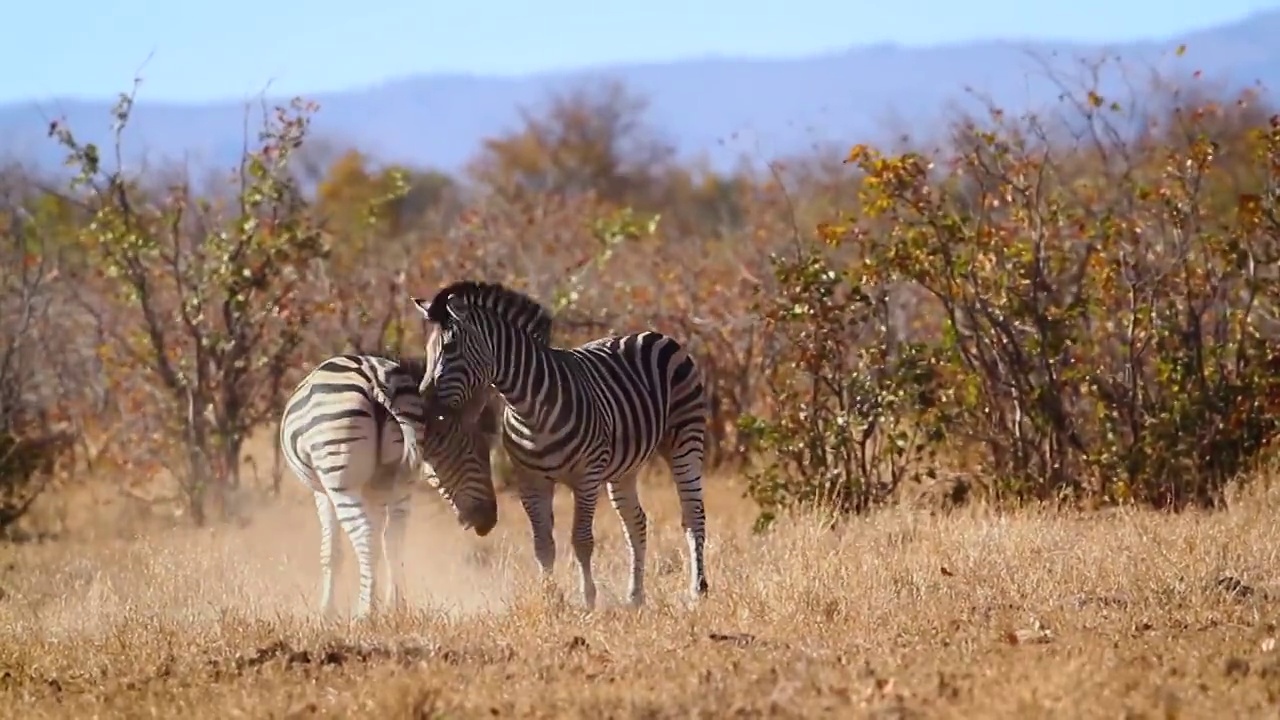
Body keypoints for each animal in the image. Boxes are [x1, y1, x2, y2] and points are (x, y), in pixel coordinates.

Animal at [282, 353, 501, 617]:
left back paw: (365, 613)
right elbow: (380, 541)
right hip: (400, 480)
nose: (490, 520)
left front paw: (327, 612)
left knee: (365, 535)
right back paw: (394, 606)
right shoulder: (375, 489)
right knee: (392, 539)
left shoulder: (323, 492)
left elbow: (331, 551)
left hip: (341, 478)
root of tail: (376, 380)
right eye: (476, 455)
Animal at [409, 279, 711, 604]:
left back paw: (697, 589)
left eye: (451, 348)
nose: (422, 408)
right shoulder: (530, 482)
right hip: (624, 467)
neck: (528, 408)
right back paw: (635, 597)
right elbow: (543, 545)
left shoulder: (586, 477)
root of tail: (654, 334)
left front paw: (588, 599)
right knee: (636, 522)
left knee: (693, 514)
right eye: (428, 350)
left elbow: (581, 540)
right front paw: (550, 599)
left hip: (685, 439)